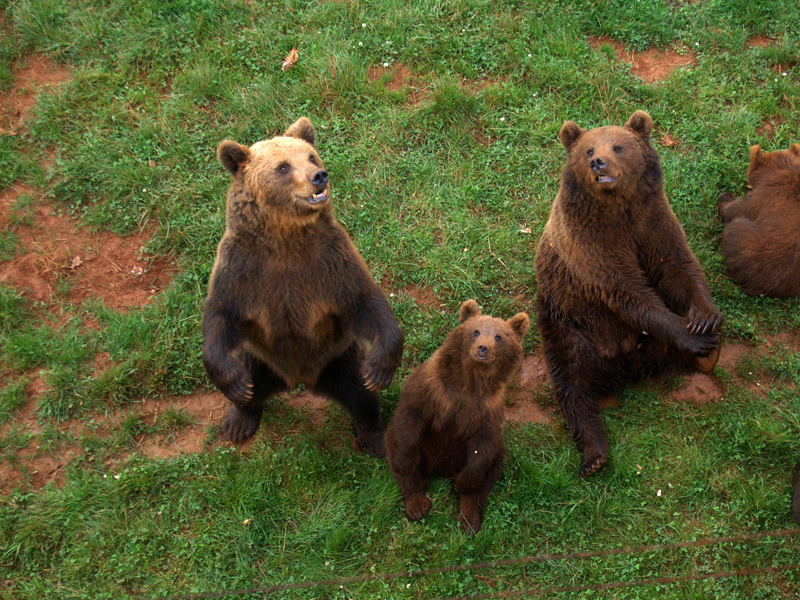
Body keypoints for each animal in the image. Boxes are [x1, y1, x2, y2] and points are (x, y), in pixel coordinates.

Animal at [202, 116, 406, 454]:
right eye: (283, 167)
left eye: (311, 156)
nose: (319, 176)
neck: (286, 239)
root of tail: (299, 379)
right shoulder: (241, 268)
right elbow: (221, 313)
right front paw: (232, 381)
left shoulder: (331, 260)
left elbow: (365, 300)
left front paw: (380, 367)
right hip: (259, 358)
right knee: (253, 388)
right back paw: (238, 420)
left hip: (339, 357)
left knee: (361, 395)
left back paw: (375, 436)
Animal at [384, 302, 528, 532]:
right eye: (476, 331)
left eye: (498, 336)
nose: (482, 348)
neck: (469, 382)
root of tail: (441, 469)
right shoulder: (431, 389)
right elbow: (411, 416)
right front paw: (404, 464)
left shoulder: (487, 411)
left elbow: (483, 447)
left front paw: (464, 483)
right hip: (419, 448)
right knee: (401, 459)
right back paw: (417, 505)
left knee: (490, 472)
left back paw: (469, 519)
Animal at [536, 109, 720, 478]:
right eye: (589, 150)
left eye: (618, 146)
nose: (599, 163)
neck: (618, 209)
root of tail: (627, 366)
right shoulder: (593, 245)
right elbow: (629, 291)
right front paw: (692, 335)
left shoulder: (653, 222)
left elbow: (679, 268)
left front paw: (704, 319)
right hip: (569, 322)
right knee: (572, 383)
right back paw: (593, 455)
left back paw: (708, 358)